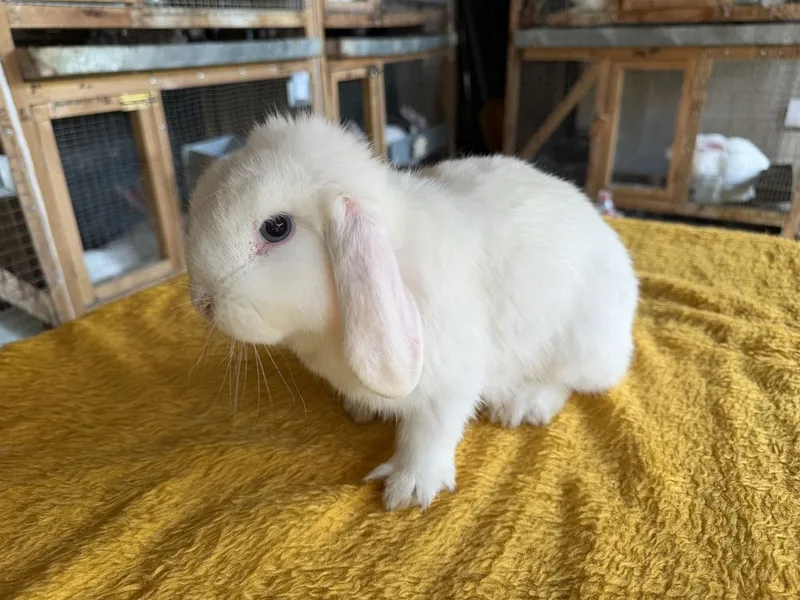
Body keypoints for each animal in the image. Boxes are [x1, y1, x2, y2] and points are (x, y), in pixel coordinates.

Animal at [185, 114, 638, 510]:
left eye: (276, 228)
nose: (201, 302)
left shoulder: (450, 379)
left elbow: (431, 431)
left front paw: (410, 489)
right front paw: (360, 411)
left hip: (584, 344)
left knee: (571, 383)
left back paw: (522, 405)